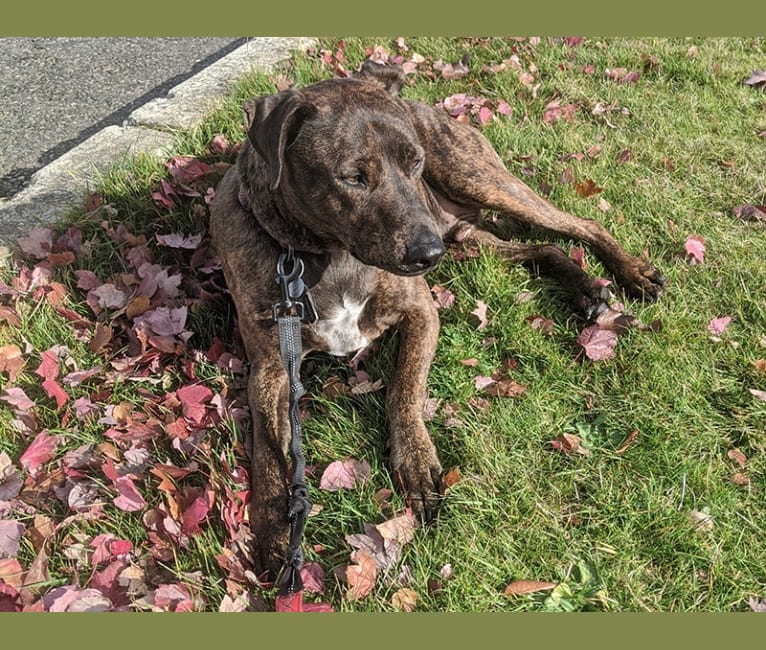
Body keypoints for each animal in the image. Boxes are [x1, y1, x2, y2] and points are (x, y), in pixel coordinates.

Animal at [212, 60, 664, 576]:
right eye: (352, 177)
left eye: (414, 163)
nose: (428, 254)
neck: (327, 256)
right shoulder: (270, 368)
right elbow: (268, 449)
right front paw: (274, 526)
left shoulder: (421, 313)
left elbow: (404, 389)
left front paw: (413, 460)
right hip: (469, 242)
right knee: (544, 248)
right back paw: (586, 288)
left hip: (481, 181)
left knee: (581, 224)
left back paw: (634, 272)